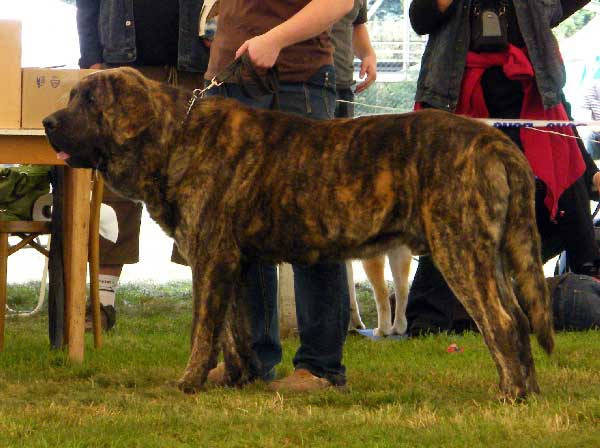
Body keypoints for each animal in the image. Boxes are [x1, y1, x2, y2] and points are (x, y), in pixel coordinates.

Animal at [44, 66, 556, 400]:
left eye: (89, 101)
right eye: (70, 98)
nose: (48, 122)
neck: (175, 137)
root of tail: (493, 139)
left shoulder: (210, 259)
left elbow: (203, 330)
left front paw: (189, 381)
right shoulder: (235, 263)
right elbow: (236, 330)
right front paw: (238, 379)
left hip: (459, 250)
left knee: (501, 322)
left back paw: (511, 393)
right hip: (488, 253)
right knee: (519, 318)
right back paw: (528, 390)